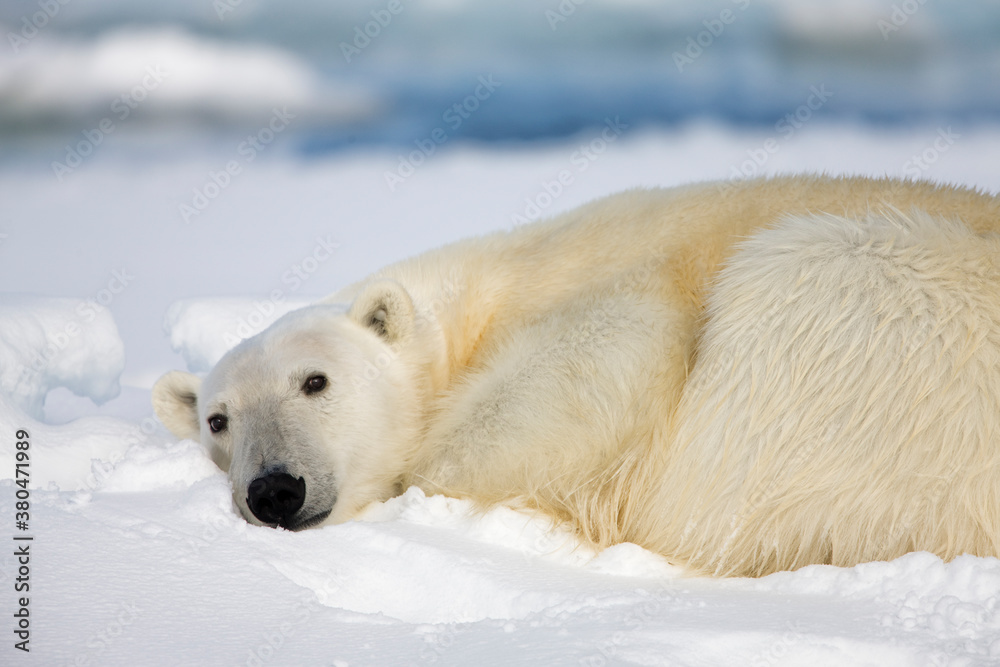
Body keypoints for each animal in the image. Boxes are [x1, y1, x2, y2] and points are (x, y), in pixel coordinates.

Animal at [150, 177, 1000, 580]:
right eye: (218, 419)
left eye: (315, 381)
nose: (274, 489)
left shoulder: (621, 291)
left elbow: (591, 370)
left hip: (852, 305)